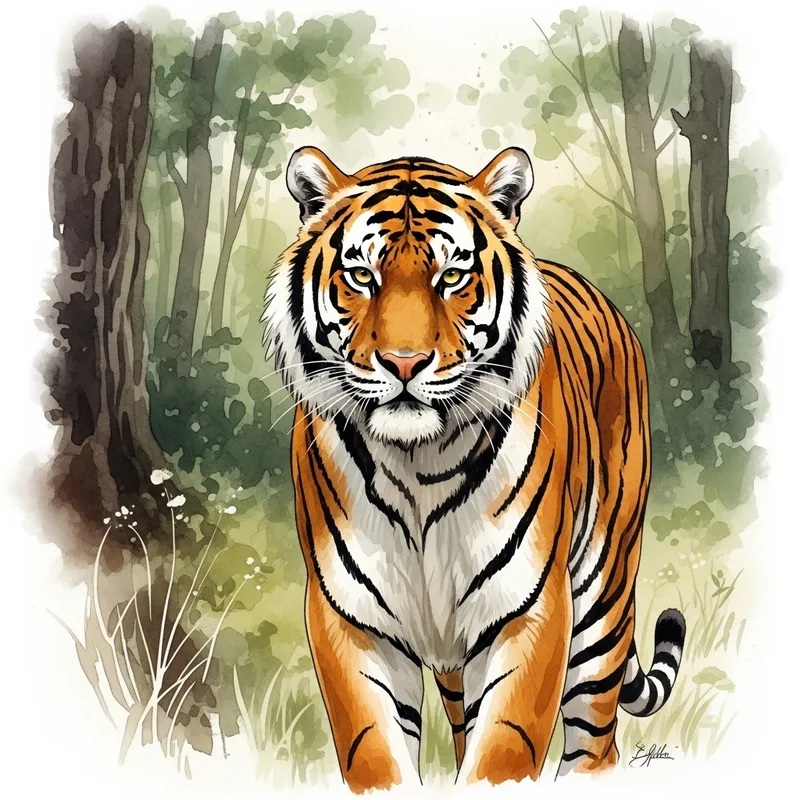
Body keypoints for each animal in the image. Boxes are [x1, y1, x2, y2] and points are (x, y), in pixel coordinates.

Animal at [262, 145, 686, 791]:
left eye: (452, 277)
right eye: (362, 276)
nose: (404, 362)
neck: (415, 460)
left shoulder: (529, 609)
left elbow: (505, 750)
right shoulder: (350, 618)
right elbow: (376, 754)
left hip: (603, 591)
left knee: (596, 739)